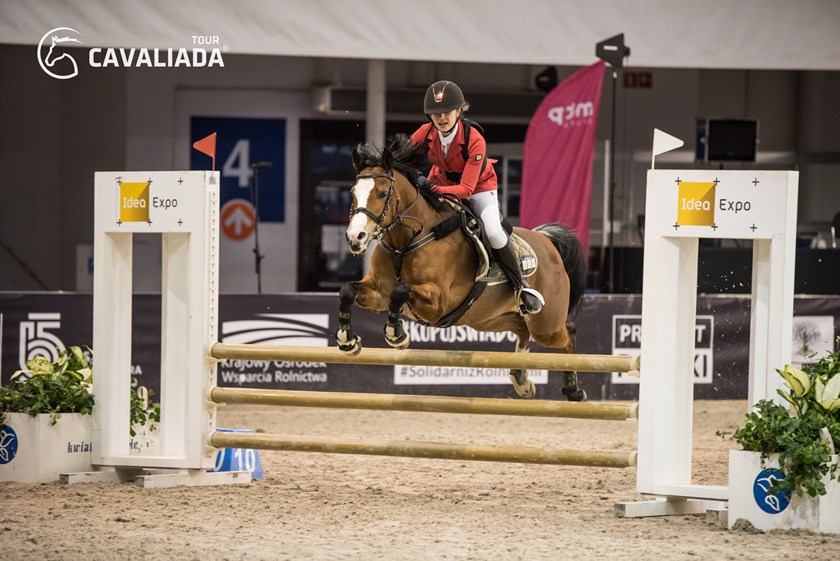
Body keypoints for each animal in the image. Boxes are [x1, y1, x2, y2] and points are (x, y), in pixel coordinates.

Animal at [336, 134, 587, 400]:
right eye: (352, 193)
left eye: (383, 193)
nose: (355, 238)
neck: (404, 243)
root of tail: (546, 240)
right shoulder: (378, 294)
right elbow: (348, 290)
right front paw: (347, 341)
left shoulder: (438, 302)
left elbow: (401, 290)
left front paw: (397, 335)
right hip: (487, 318)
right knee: (522, 328)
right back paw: (522, 381)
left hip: (546, 325)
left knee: (568, 332)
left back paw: (573, 391)